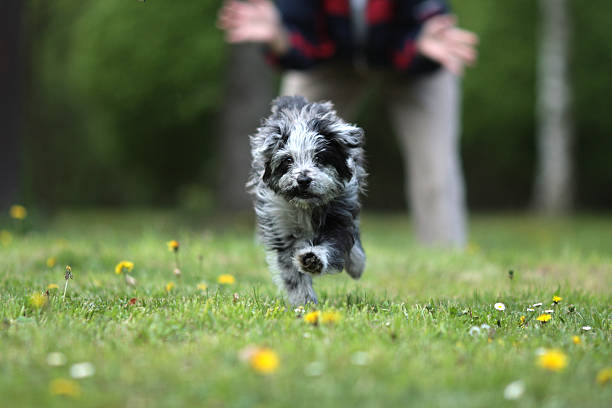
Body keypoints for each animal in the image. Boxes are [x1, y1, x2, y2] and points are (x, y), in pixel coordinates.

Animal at [246, 95, 366, 304]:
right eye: (288, 160)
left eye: (319, 158)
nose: (303, 180)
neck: (306, 207)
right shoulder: (281, 227)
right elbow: (293, 275)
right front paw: (305, 303)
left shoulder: (339, 214)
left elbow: (334, 243)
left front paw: (313, 259)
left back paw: (357, 263)